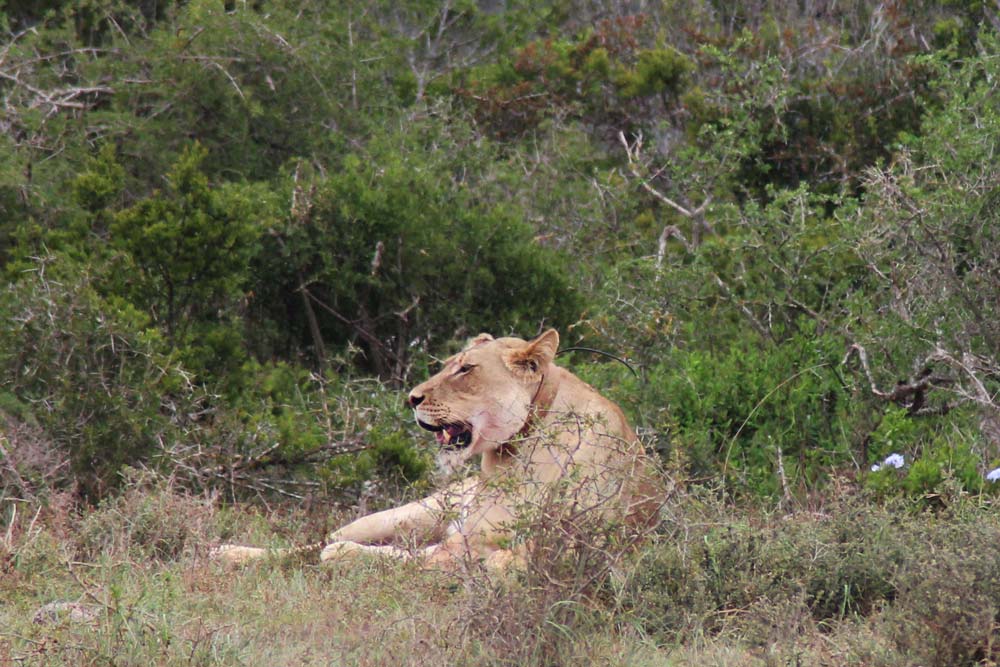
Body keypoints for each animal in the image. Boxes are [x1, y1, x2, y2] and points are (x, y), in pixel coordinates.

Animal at [215, 332, 660, 572]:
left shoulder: (476, 548)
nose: (412, 398)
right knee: (314, 542)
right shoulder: (463, 543)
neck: (510, 452)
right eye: (449, 364)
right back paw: (229, 553)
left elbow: (403, 559)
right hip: (406, 514)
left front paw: (343, 558)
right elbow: (392, 556)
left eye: (466, 369)